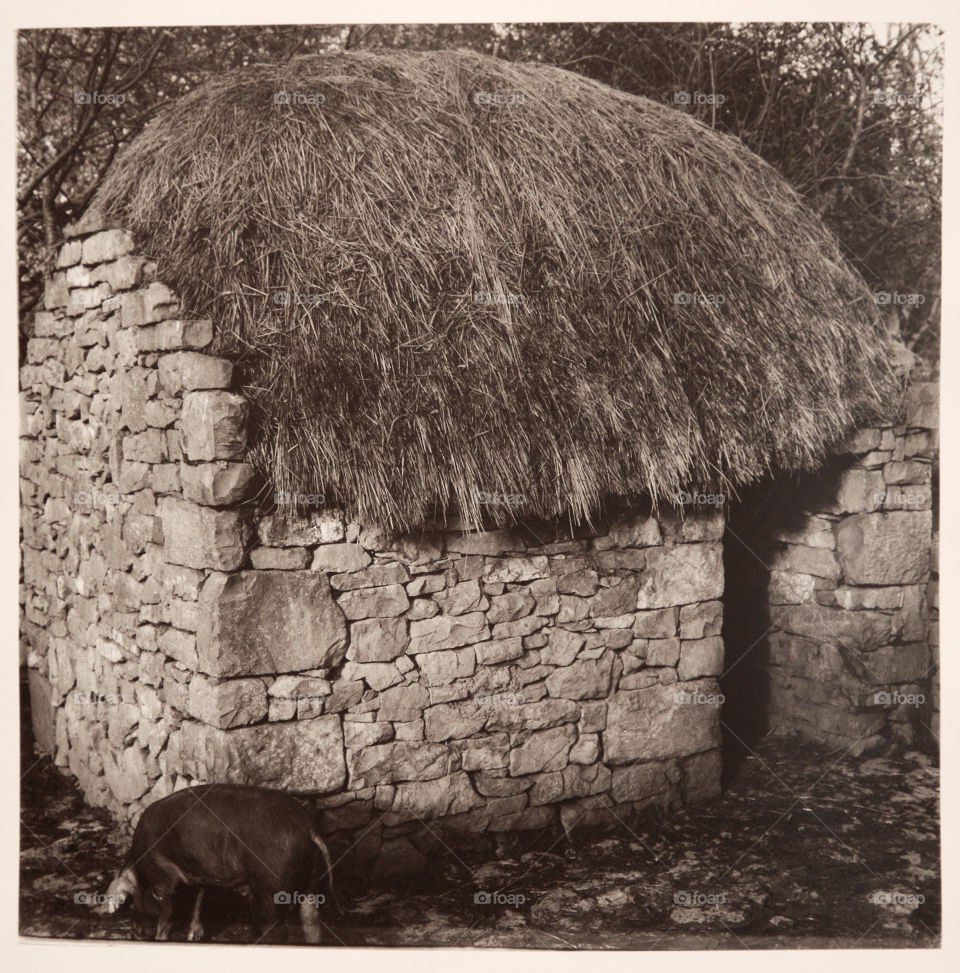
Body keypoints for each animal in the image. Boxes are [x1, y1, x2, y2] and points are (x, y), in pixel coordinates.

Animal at [94, 784, 334, 940]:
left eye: (128, 901)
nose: (134, 931)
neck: (139, 864)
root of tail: (308, 828)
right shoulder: (199, 877)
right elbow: (199, 902)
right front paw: (195, 936)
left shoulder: (163, 879)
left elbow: (167, 913)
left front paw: (160, 938)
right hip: (312, 883)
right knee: (312, 923)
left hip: (272, 887)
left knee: (278, 930)